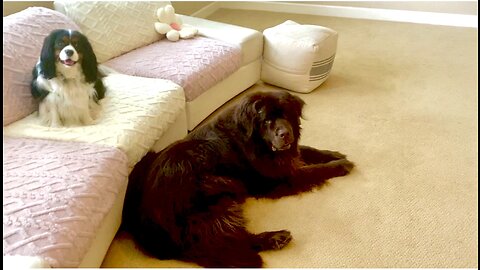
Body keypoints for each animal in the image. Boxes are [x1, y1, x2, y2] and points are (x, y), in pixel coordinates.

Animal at [123, 89, 356, 266]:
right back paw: (275, 238)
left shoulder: (286, 156)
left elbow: (307, 150)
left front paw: (333, 154)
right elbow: (312, 171)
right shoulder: (276, 179)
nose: (285, 134)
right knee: (225, 240)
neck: (257, 143)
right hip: (217, 196)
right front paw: (340, 165)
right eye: (267, 121)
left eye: (287, 114)